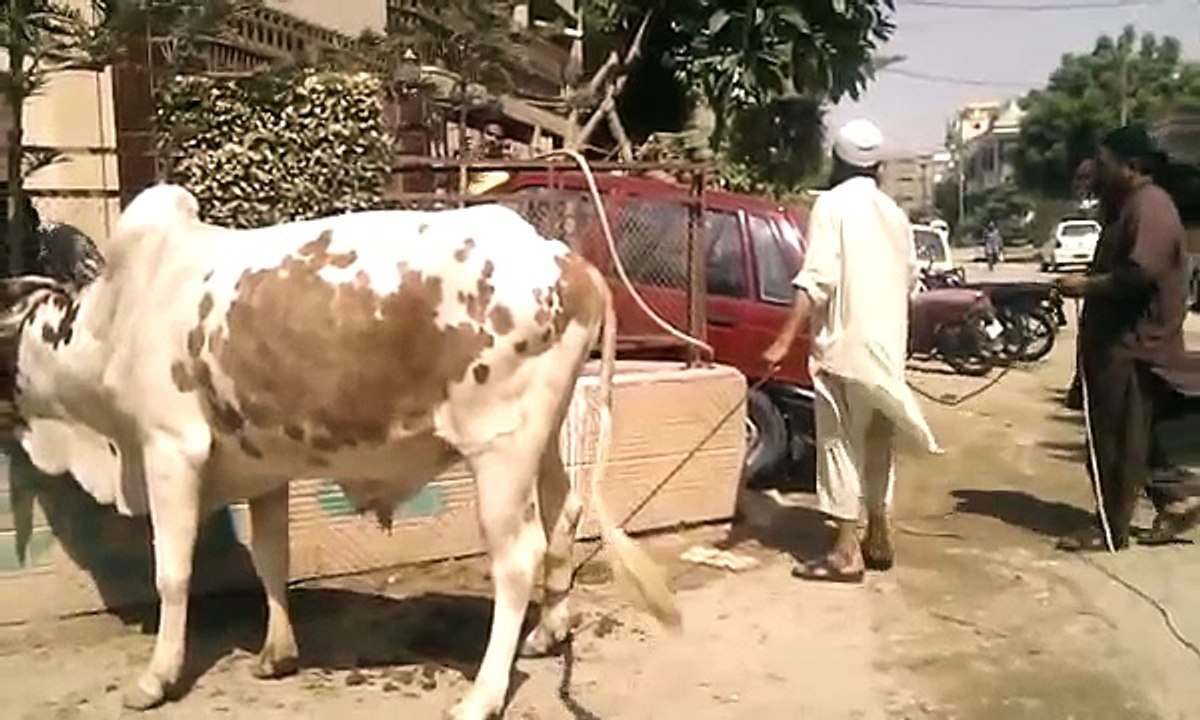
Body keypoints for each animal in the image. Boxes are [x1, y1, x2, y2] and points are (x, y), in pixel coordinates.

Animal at [0, 184, 679, 720]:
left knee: (518, 559)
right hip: (542, 437)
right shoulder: (264, 468)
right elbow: (271, 559)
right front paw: (276, 654)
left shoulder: (171, 449)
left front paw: (156, 678)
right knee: (564, 517)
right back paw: (547, 632)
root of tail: (570, 263)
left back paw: (483, 696)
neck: (114, 318)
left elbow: (172, 574)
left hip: (498, 448)